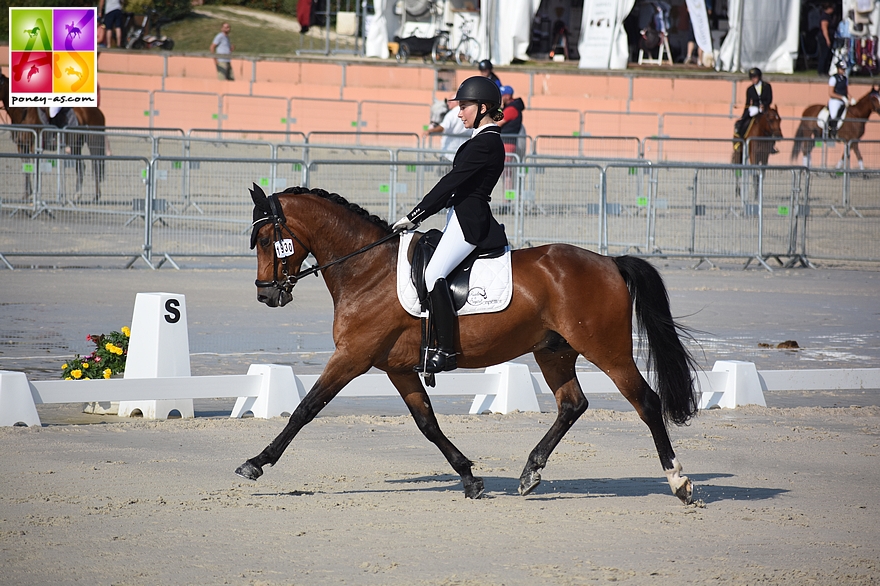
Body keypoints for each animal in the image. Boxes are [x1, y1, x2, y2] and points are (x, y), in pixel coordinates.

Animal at [0, 70, 105, 198]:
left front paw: (36, 194)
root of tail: (97, 111)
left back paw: (96, 195)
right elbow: (26, 169)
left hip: (94, 141)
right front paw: (27, 194)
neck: (23, 113)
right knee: (81, 166)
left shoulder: (34, 146)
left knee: (96, 164)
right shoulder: (21, 147)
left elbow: (36, 168)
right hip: (76, 145)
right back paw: (77, 195)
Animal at [239, 186, 700, 502]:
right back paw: (530, 473)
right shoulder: (396, 367)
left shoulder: (352, 357)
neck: (367, 269)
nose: (266, 295)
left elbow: (305, 409)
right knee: (572, 404)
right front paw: (470, 478)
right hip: (553, 351)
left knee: (646, 402)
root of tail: (609, 261)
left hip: (607, 350)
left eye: (263, 240)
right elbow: (427, 423)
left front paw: (256, 463)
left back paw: (679, 481)